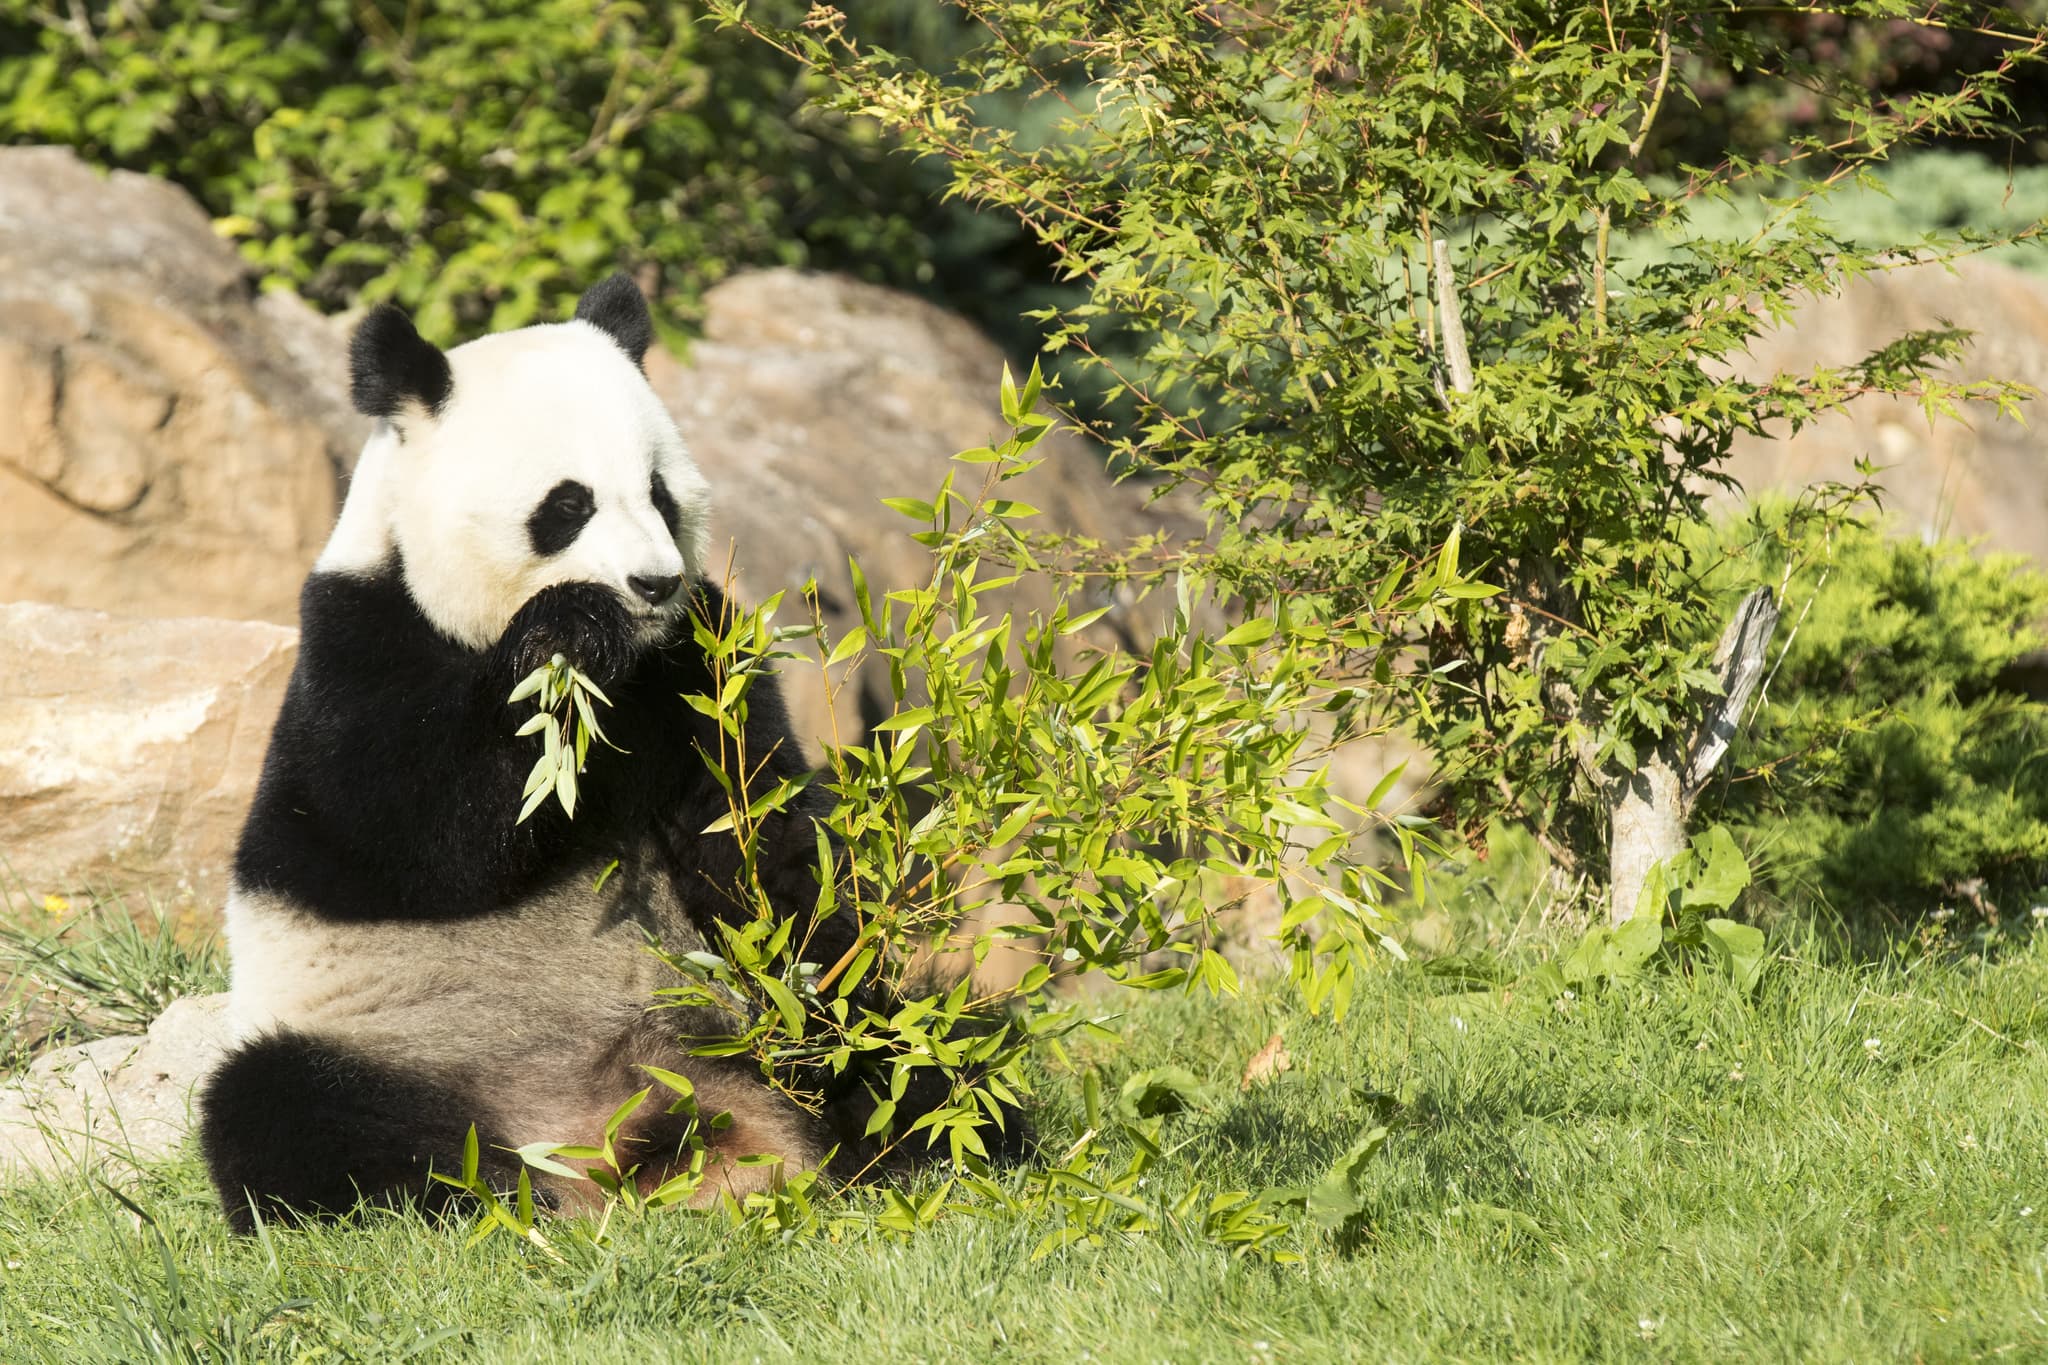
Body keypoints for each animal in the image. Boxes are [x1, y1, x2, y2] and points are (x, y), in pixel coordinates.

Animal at [199, 275, 1011, 1231]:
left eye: (660, 494)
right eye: (568, 505)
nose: (652, 583)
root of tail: (608, 1144)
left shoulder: (701, 661)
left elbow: (756, 834)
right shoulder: (361, 644)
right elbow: (415, 832)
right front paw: (564, 640)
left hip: (731, 1030)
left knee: (921, 1045)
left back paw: (938, 1137)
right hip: (390, 1045)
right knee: (286, 1110)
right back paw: (465, 1197)